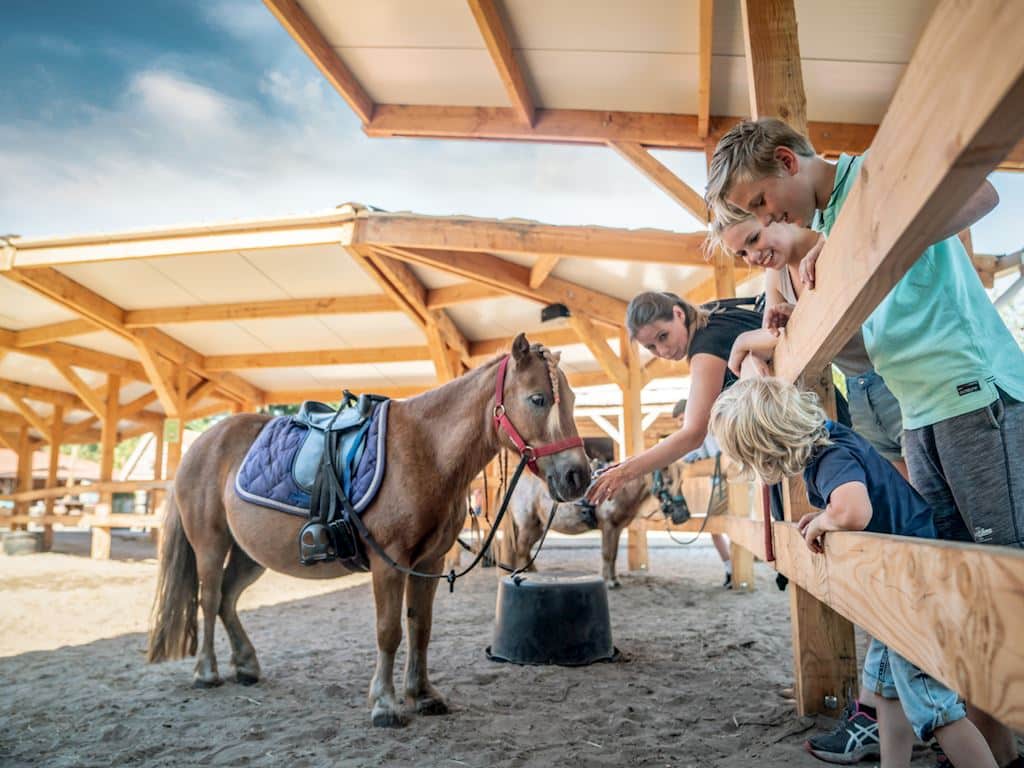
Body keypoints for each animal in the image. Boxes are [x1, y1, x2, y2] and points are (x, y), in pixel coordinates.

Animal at [147, 335, 589, 729]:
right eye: (537, 399)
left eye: (570, 400)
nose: (578, 476)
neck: (427, 450)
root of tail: (201, 444)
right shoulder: (388, 562)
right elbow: (389, 631)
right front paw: (386, 705)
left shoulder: (428, 562)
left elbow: (420, 628)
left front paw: (422, 695)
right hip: (210, 544)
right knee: (208, 600)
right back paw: (206, 672)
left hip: (250, 554)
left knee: (227, 599)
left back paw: (246, 666)